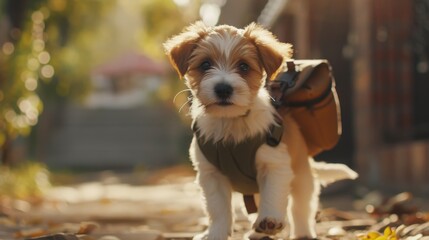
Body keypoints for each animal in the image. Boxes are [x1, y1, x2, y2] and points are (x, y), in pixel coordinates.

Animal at [164, 21, 358, 239]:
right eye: (205, 64)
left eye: (244, 66)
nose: (223, 89)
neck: (232, 123)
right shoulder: (211, 175)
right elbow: (218, 210)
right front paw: (215, 233)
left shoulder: (274, 166)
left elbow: (272, 197)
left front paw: (270, 220)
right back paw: (256, 233)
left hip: (302, 179)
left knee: (300, 209)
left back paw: (301, 232)